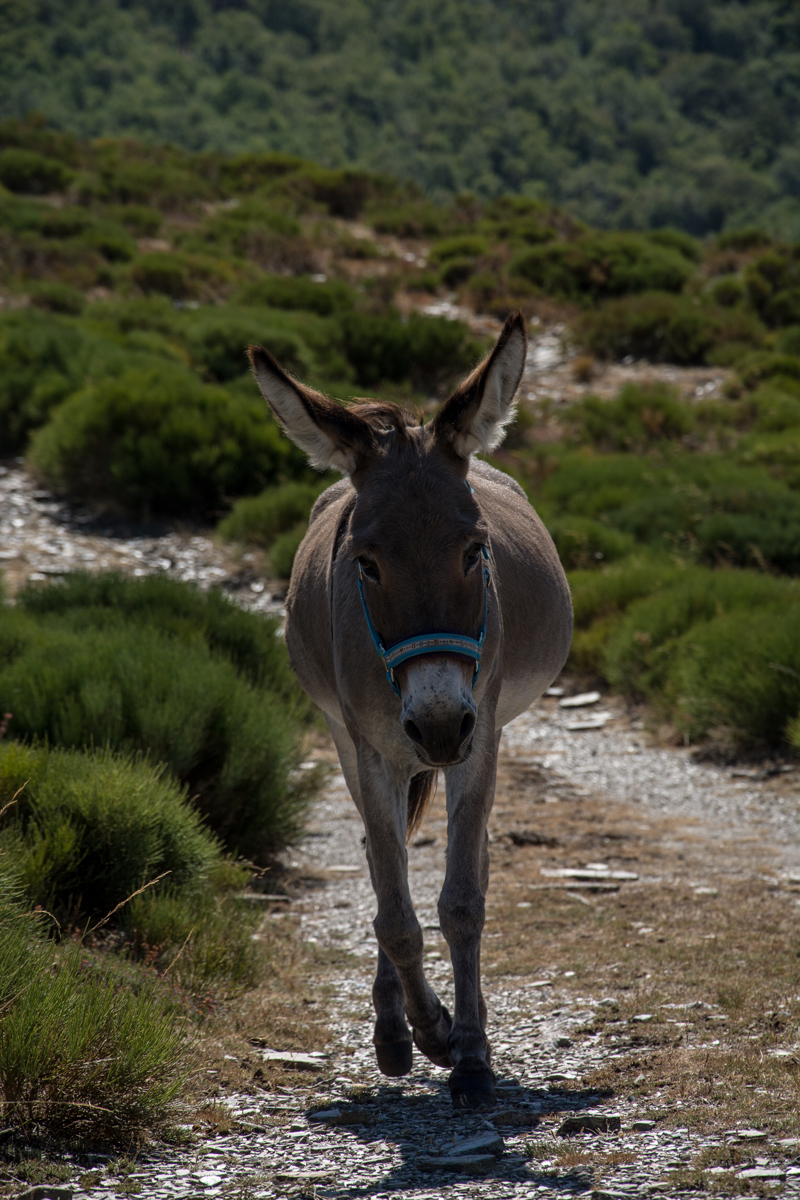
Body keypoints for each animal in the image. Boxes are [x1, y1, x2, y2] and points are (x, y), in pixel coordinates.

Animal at [249, 311, 572, 1111]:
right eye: (365, 563)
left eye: (476, 550)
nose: (436, 725)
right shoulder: (368, 744)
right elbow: (395, 908)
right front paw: (428, 1031)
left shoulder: (481, 731)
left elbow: (461, 901)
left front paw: (472, 1056)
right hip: (353, 740)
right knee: (379, 855)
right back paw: (396, 1032)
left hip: (483, 733)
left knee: (471, 858)